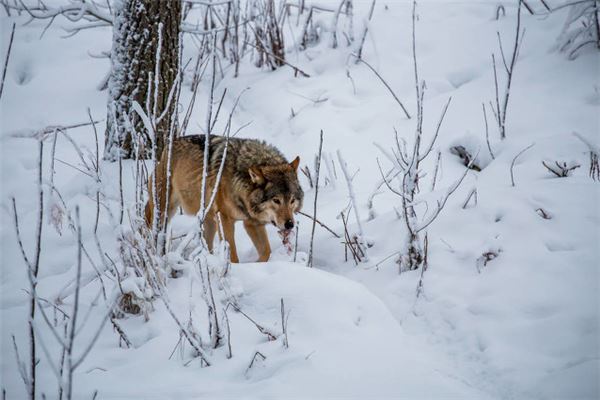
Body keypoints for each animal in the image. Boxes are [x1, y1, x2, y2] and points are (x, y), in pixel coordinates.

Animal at [145, 134, 304, 262]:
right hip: (165, 211)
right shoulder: (225, 218)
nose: (290, 224)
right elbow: (232, 256)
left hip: (210, 222)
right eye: (276, 200)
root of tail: (167, 146)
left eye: (292, 200)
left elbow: (266, 252)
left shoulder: (252, 223)